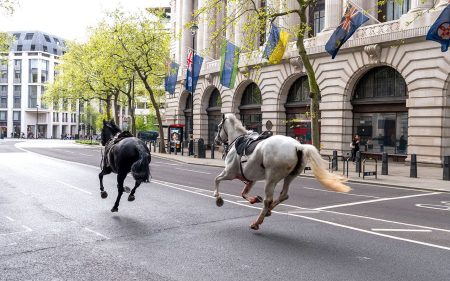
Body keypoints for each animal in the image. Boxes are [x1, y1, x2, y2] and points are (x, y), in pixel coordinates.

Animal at [214, 114, 352, 230]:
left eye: (219, 126)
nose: (216, 141)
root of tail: (299, 146)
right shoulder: (251, 179)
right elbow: (243, 193)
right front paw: (254, 199)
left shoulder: (229, 173)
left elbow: (217, 179)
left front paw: (218, 198)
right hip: (290, 176)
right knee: (283, 195)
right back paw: (268, 211)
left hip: (271, 178)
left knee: (268, 200)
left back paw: (257, 222)